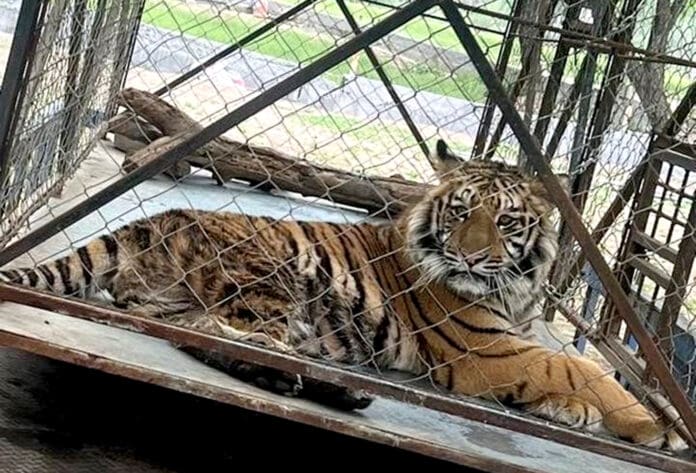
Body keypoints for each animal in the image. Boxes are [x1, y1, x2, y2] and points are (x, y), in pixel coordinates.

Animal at [0, 139, 686, 451]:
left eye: (507, 221)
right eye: (461, 211)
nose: (468, 256)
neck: (515, 285)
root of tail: (153, 219)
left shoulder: (512, 339)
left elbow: (569, 375)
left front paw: (573, 413)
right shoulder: (483, 352)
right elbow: (577, 366)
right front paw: (653, 425)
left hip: (193, 298)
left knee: (180, 329)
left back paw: (333, 389)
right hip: (274, 279)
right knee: (225, 334)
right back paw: (314, 381)